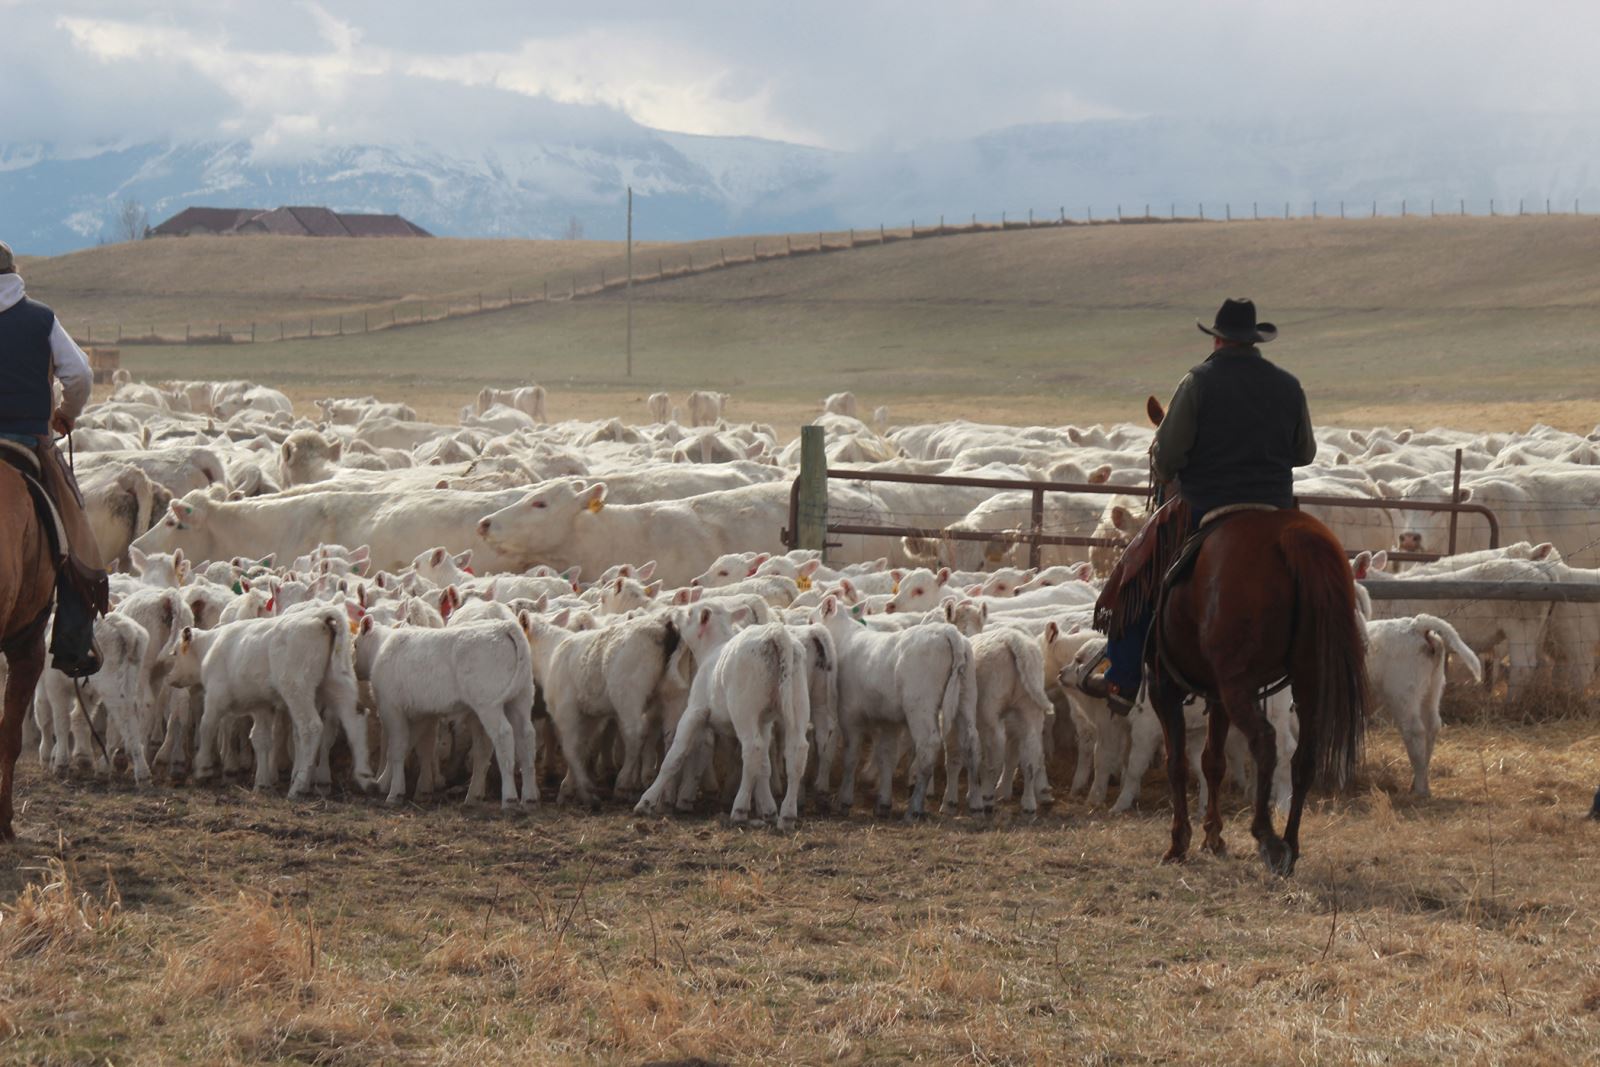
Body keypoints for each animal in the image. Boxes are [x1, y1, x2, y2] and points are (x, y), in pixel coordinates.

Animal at [1145, 399, 1369, 876]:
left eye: (1154, 455)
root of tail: (1292, 538)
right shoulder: (1214, 692)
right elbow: (1212, 761)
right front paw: (1213, 836)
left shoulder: (1164, 684)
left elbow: (1178, 763)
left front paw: (1179, 842)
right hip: (1307, 676)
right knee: (1304, 755)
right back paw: (1291, 843)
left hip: (1238, 684)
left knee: (1265, 743)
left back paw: (1267, 837)